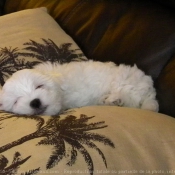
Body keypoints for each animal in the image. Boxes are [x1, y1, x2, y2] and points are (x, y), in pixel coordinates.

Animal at [0, 60, 159, 115]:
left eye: (39, 86)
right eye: (16, 101)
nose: (35, 102)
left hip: (125, 83)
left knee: (132, 99)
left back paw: (115, 99)